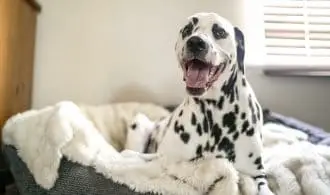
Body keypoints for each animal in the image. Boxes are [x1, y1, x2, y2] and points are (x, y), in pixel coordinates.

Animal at [126, 12, 274, 195]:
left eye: (219, 32)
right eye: (187, 29)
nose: (196, 42)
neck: (213, 113)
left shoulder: (256, 174)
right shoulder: (169, 161)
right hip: (139, 122)